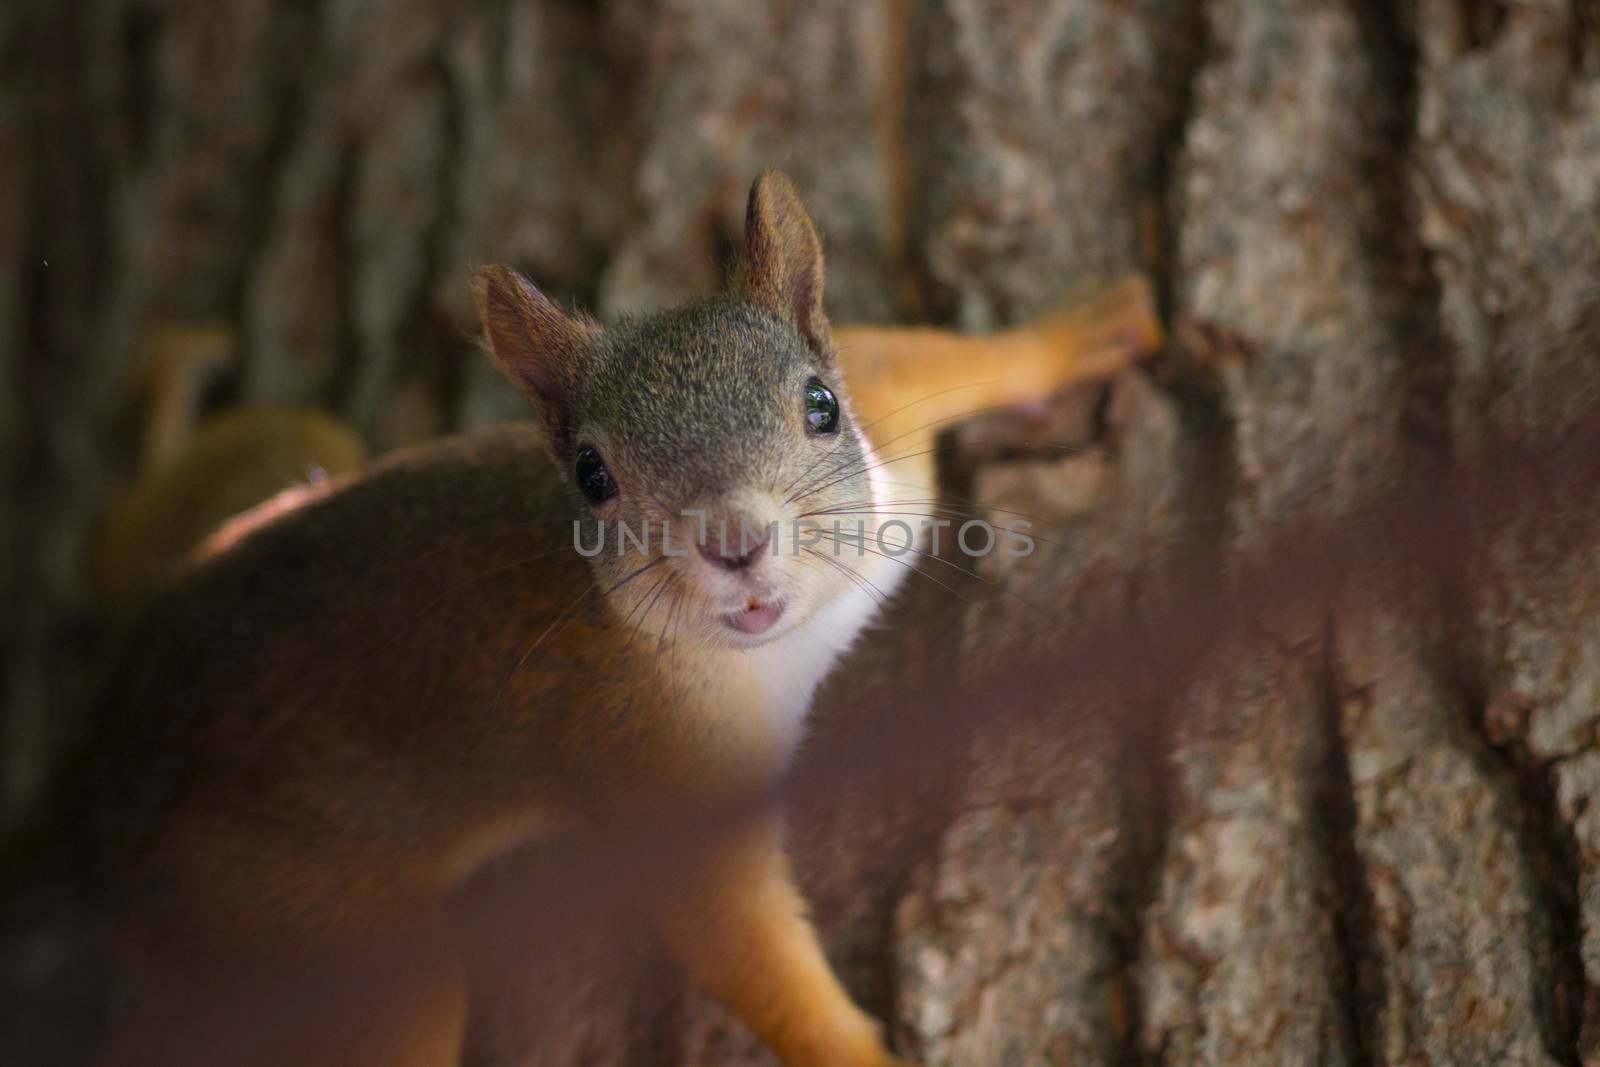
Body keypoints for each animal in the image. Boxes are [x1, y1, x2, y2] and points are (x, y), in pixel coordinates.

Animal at [9, 171, 1164, 1062]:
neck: (785, 637)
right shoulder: (656, 773)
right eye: (591, 474)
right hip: (309, 932)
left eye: (819, 406)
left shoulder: (895, 438)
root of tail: (97, 776)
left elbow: (925, 354)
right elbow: (742, 944)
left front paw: (1077, 332)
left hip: (278, 469)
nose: (732, 541)